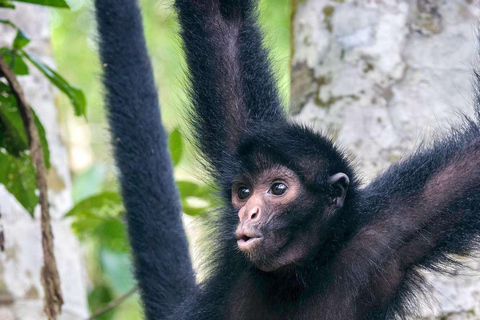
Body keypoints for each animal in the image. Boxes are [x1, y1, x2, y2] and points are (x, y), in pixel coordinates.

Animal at [94, 0, 480, 320]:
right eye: (244, 192)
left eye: (278, 189)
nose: (249, 213)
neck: (297, 275)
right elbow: (222, 21)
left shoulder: (393, 227)